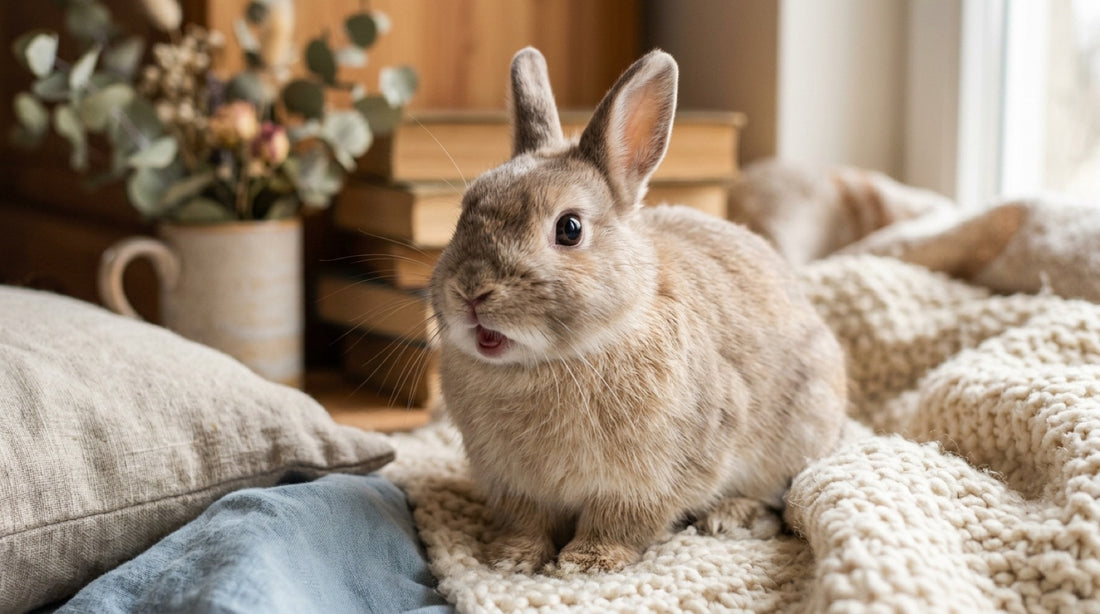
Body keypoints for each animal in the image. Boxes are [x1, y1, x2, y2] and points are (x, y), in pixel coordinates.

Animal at [429, 47, 848, 575]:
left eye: (569, 228)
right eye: (463, 212)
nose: (470, 292)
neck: (552, 361)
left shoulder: (650, 481)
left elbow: (620, 521)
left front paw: (587, 563)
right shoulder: (515, 487)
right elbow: (528, 523)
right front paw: (511, 559)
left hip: (799, 433)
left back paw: (728, 517)